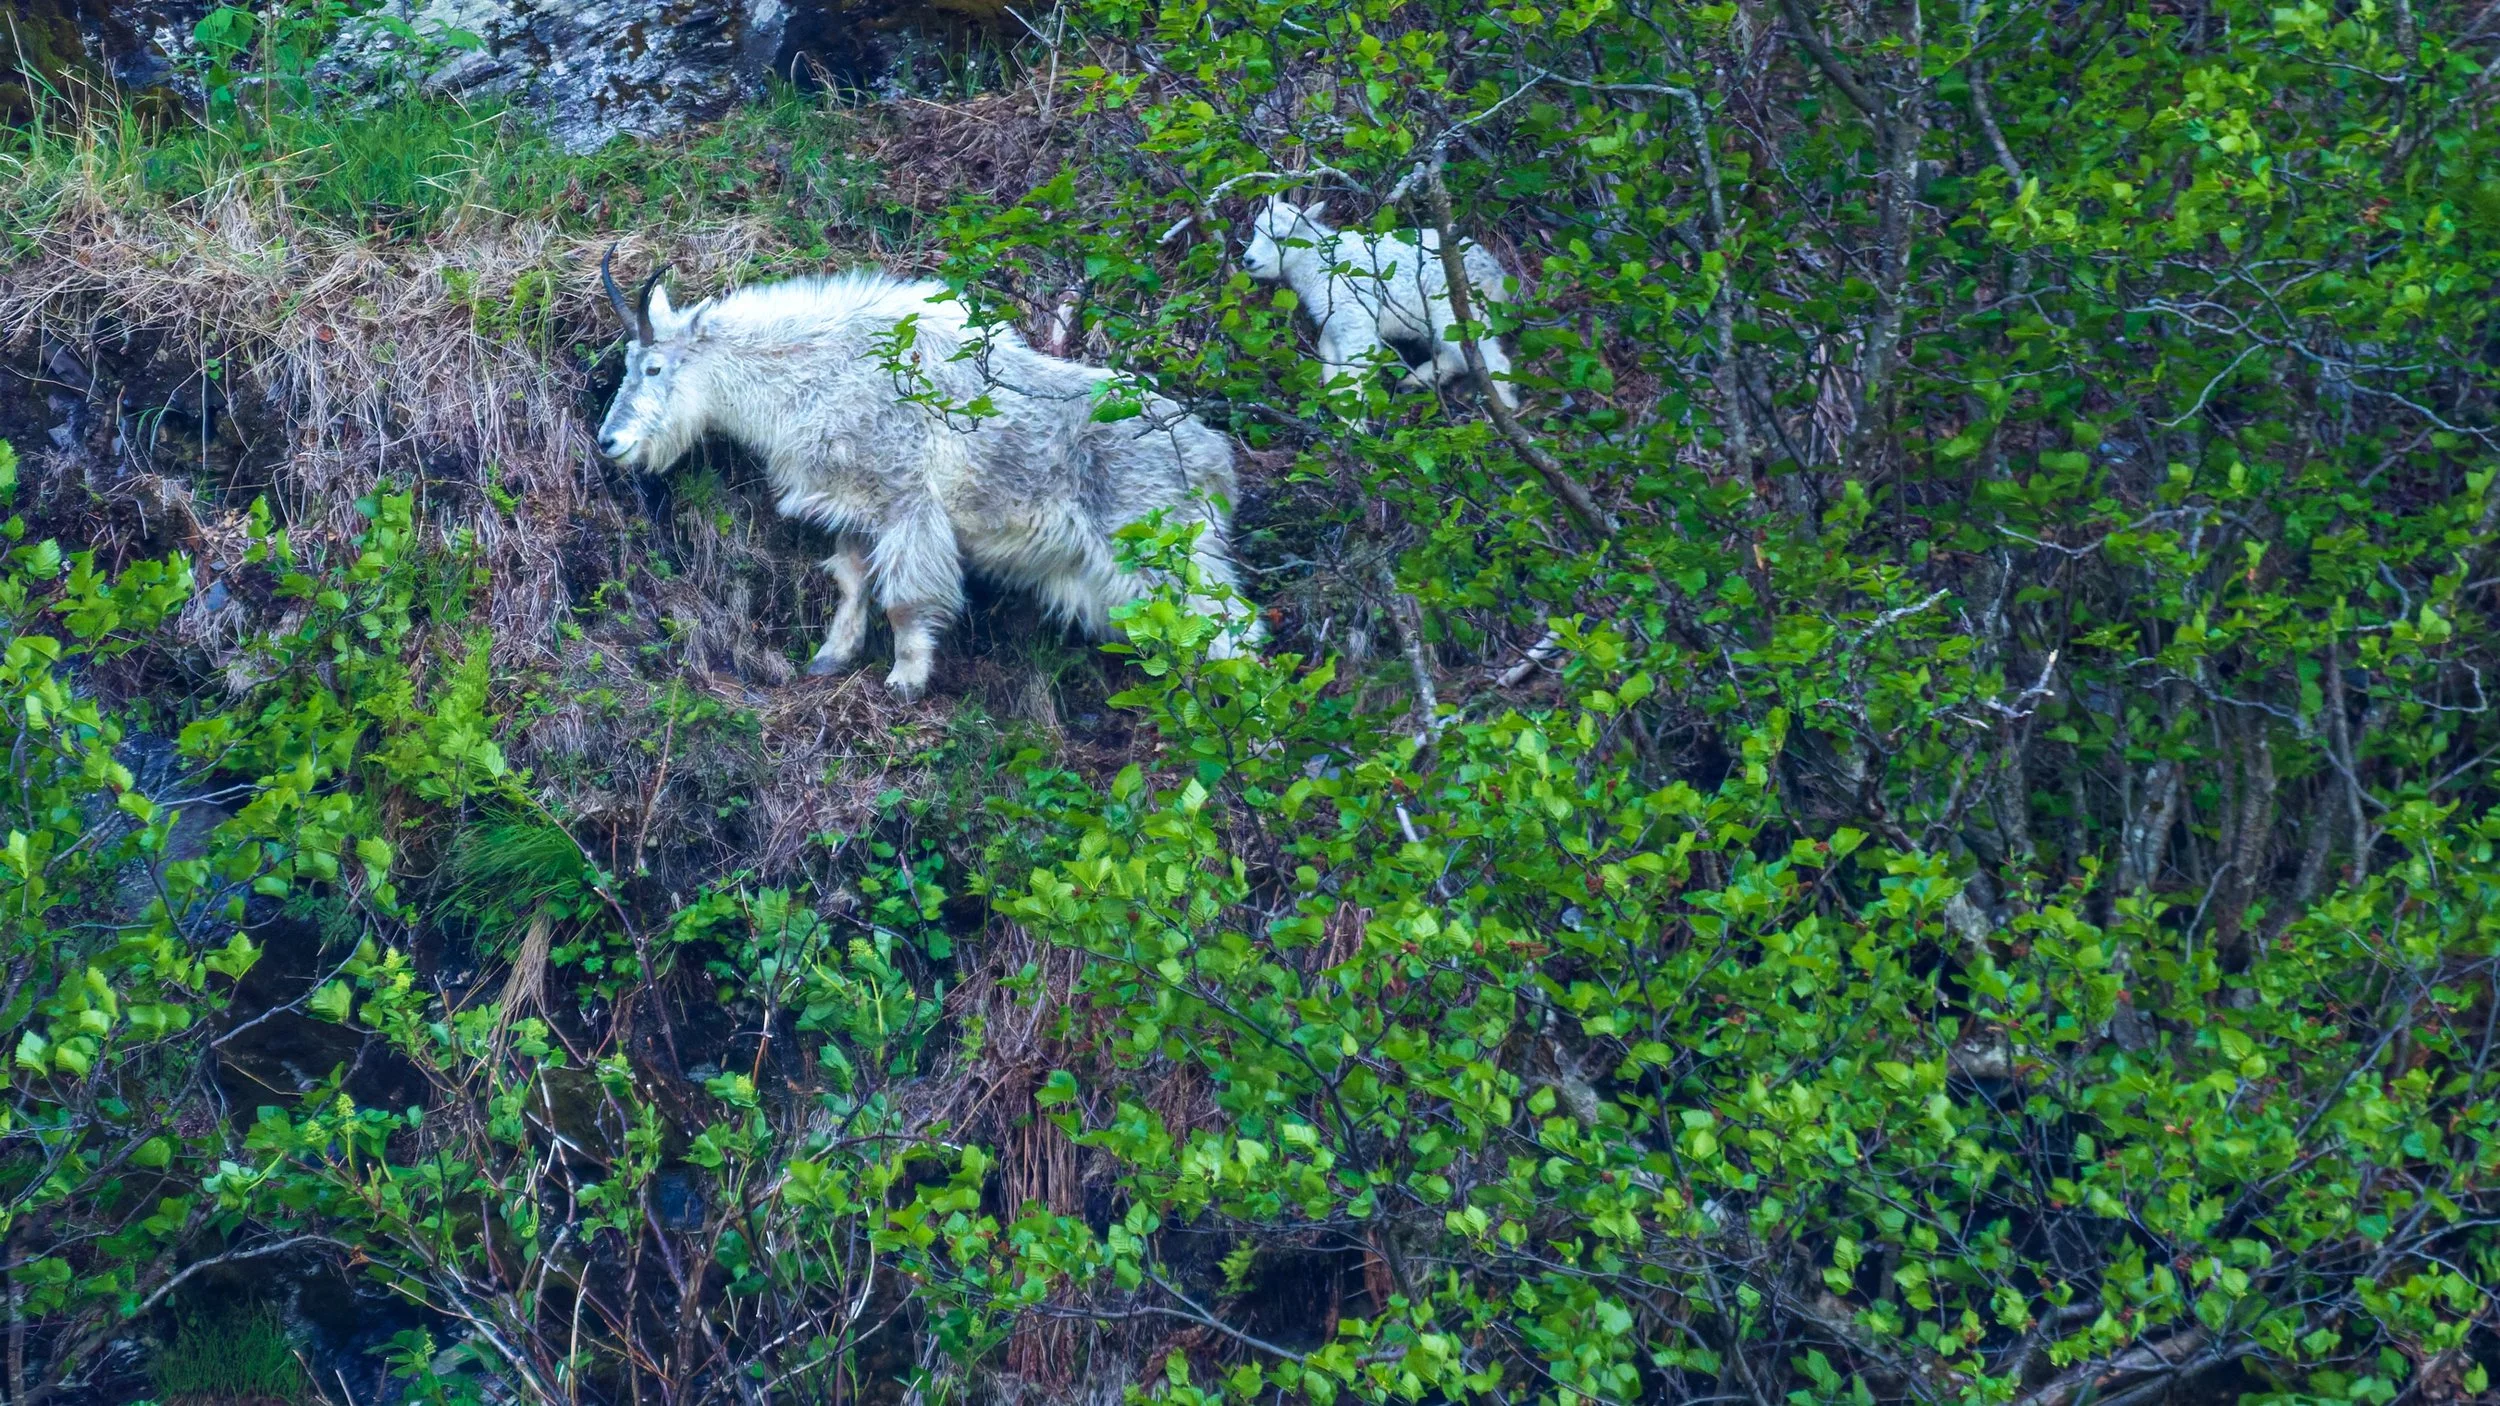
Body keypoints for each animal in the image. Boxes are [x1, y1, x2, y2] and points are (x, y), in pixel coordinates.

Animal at [594, 252, 1257, 698]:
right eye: (628, 363)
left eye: (654, 367)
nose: (609, 442)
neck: (818, 375)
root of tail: (1214, 461)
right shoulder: (855, 506)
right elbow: (853, 583)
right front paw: (828, 660)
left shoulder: (906, 503)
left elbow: (906, 601)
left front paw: (905, 681)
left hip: (1162, 553)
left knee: (1228, 632)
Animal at [1239, 197, 1520, 409]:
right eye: (1256, 230)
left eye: (1280, 237)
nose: (1248, 260)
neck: (1320, 265)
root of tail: (1498, 274)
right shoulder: (1332, 325)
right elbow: (1333, 369)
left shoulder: (1355, 318)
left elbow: (1355, 368)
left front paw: (1354, 424)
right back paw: (1416, 380)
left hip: (1455, 310)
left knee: (1490, 360)